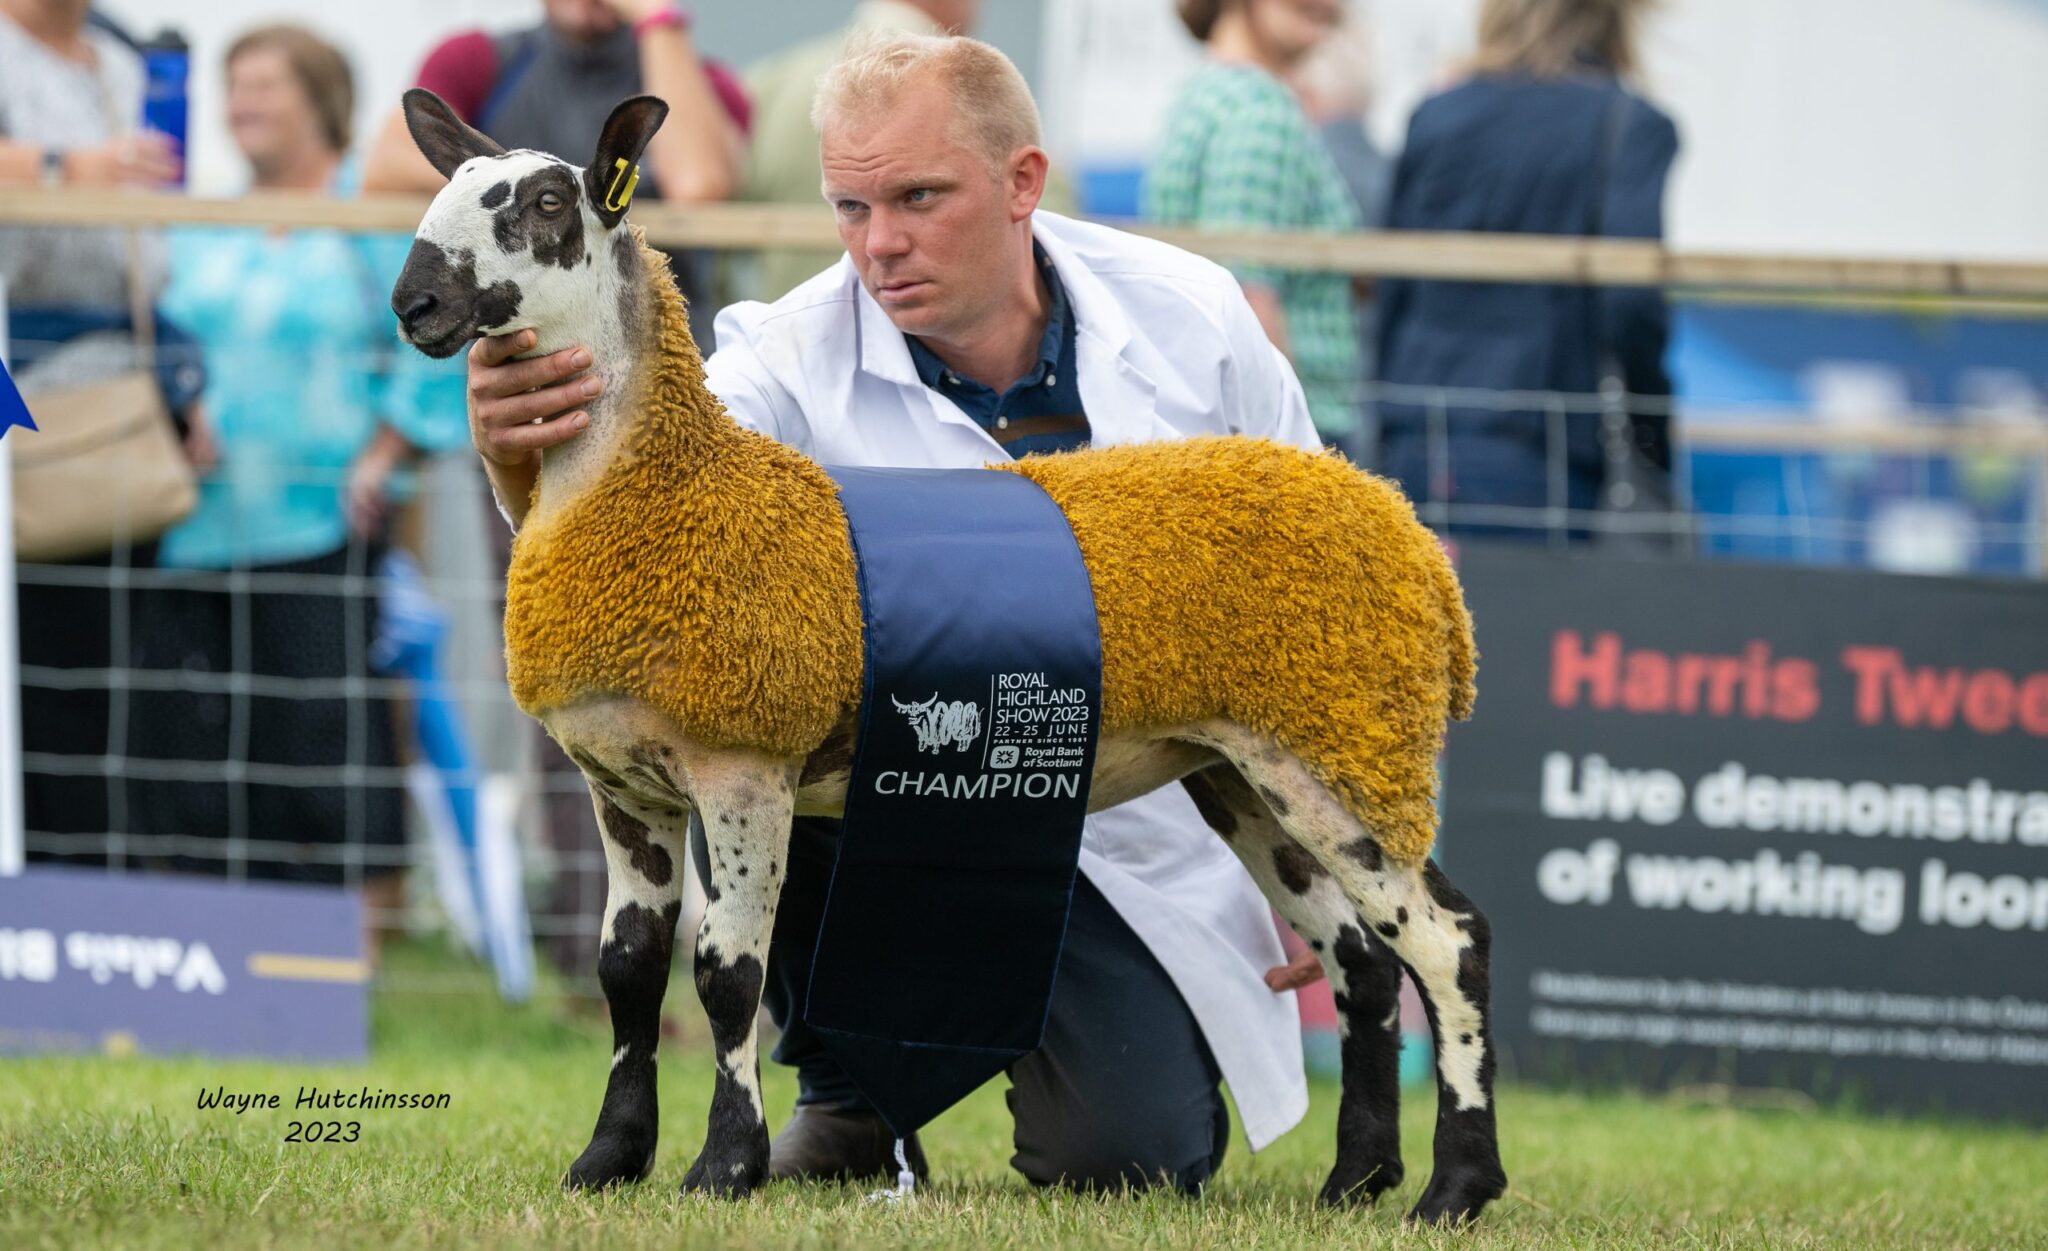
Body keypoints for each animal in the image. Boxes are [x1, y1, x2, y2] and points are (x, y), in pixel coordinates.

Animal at [387, 93, 1507, 1228]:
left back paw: (1454, 1187)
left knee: (1446, 942)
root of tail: (1413, 543)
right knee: (1363, 960)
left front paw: (723, 1168)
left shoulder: (746, 766)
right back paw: (1354, 1179)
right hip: (1251, 768)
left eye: (545, 201)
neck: (657, 491)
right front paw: (607, 1161)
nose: (413, 301)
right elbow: (628, 969)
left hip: (1347, 741)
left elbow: (724, 975)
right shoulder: (621, 782)